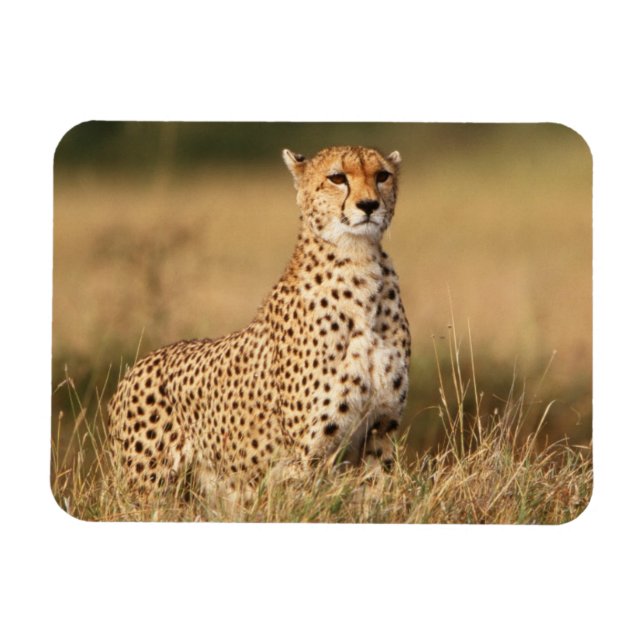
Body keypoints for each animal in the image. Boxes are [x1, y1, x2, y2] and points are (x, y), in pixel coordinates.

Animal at [107, 145, 411, 506]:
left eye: (382, 176)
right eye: (337, 178)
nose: (369, 205)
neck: (359, 263)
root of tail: (136, 366)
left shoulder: (380, 431)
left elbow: (379, 500)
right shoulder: (308, 454)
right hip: (147, 490)